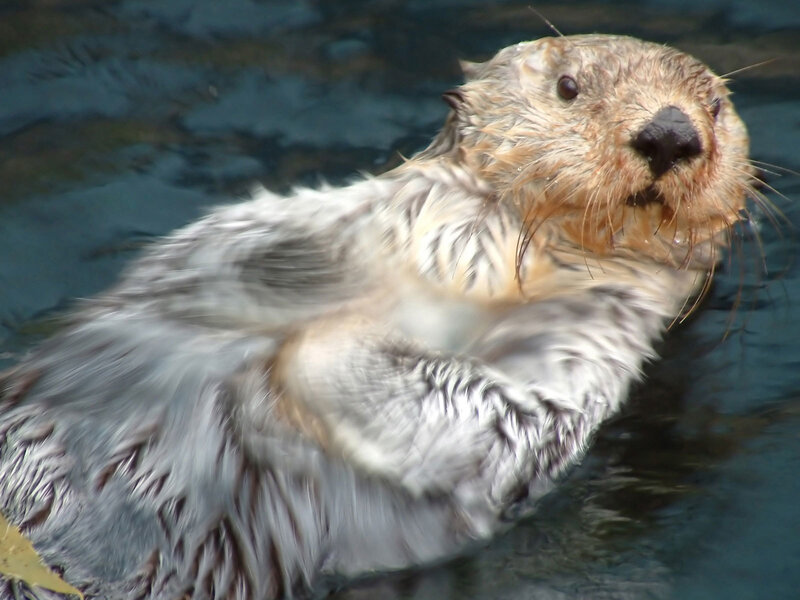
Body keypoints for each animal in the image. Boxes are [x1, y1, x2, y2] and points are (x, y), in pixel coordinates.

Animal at [0, 35, 757, 599]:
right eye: (569, 86)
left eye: (716, 106)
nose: (670, 132)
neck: (501, 272)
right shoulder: (368, 213)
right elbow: (226, 247)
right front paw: (297, 274)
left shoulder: (587, 348)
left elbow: (495, 421)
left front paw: (315, 344)